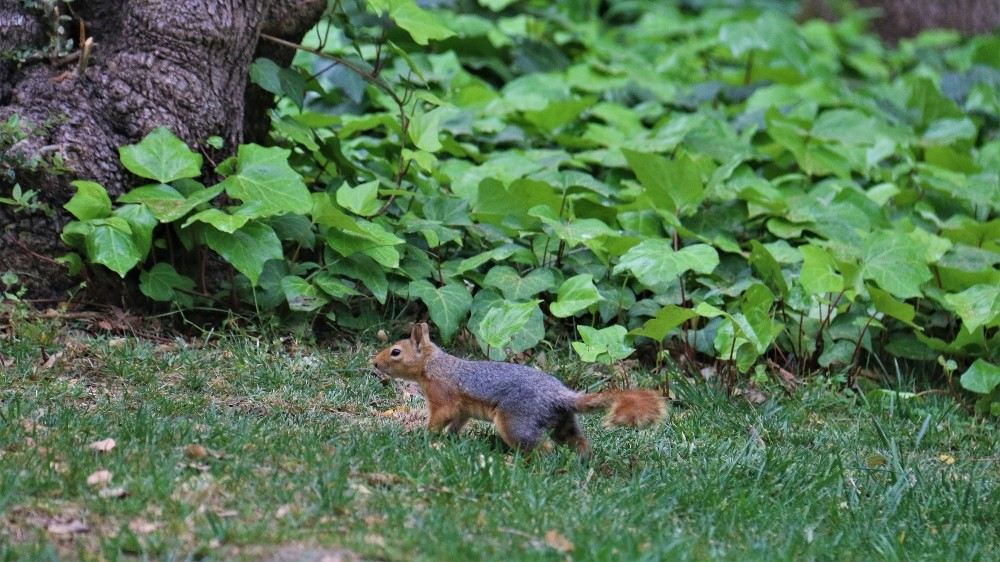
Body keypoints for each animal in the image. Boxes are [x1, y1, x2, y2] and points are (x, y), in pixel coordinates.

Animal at [374, 322, 664, 452]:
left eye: (396, 352)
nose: (374, 363)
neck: (433, 365)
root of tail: (561, 396)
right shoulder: (462, 409)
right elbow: (457, 421)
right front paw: (450, 437)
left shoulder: (442, 394)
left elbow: (440, 417)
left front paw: (425, 435)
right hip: (563, 421)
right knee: (577, 441)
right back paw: (584, 461)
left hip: (516, 422)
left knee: (542, 447)